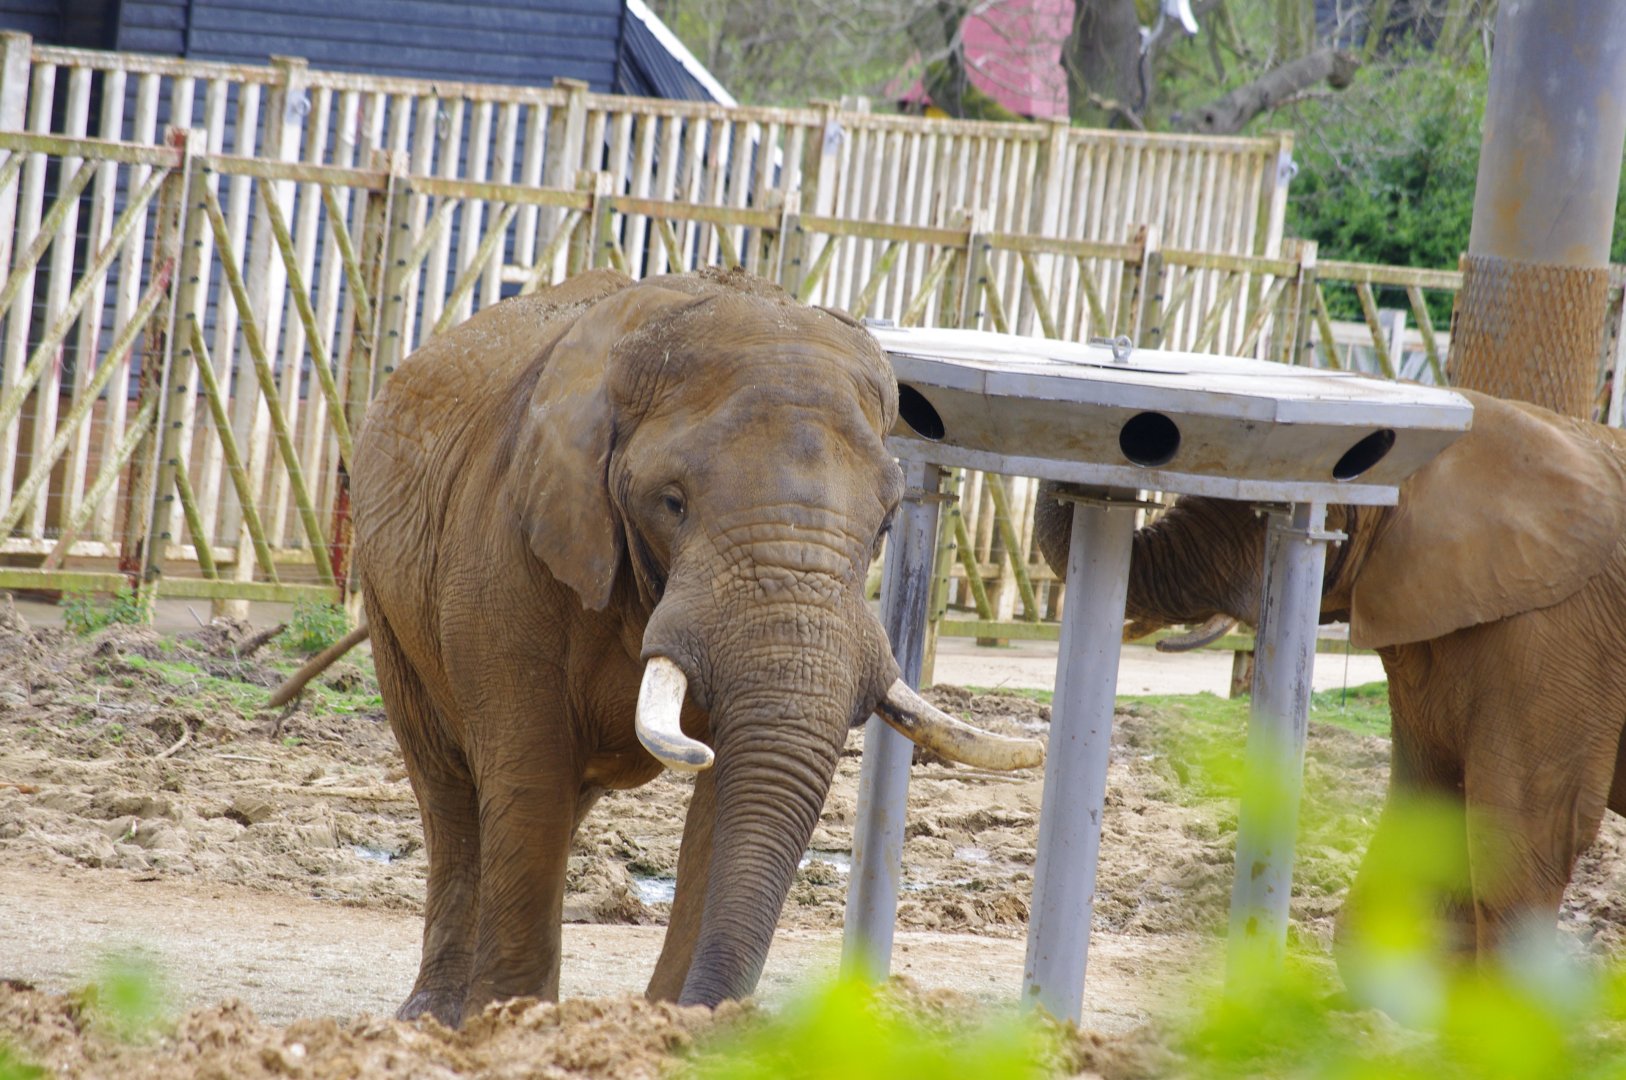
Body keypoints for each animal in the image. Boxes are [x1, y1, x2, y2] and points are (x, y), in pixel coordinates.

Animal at [340, 268, 1041, 1026]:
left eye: (886, 523)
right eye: (671, 503)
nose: (715, 1020)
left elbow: (726, 800)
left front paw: (673, 1028)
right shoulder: (503, 545)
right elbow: (528, 772)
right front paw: (513, 1024)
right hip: (385, 590)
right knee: (452, 790)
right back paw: (432, 1017)